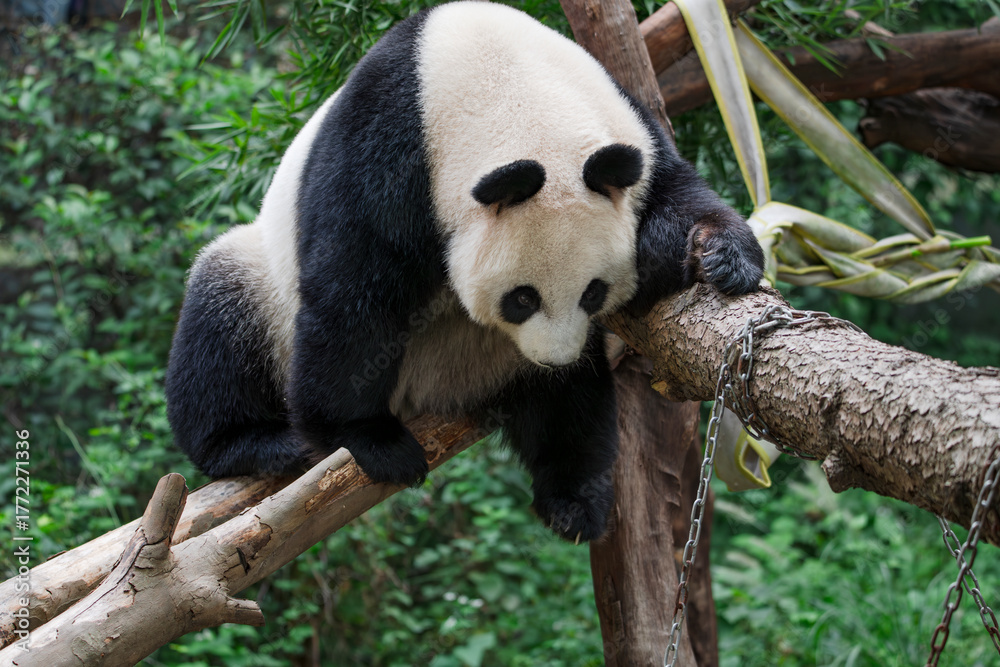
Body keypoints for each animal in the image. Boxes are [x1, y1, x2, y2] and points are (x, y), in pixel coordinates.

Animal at [165, 0, 764, 542]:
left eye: (593, 293)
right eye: (522, 298)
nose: (554, 357)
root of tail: (429, 396)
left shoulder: (629, 130)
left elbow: (677, 194)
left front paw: (722, 257)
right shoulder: (388, 147)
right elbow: (353, 292)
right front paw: (371, 441)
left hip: (502, 361)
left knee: (573, 408)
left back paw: (575, 500)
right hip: (264, 287)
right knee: (219, 312)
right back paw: (254, 443)